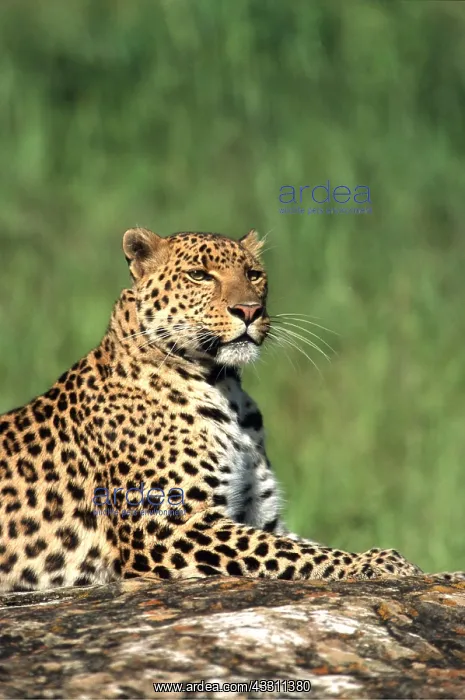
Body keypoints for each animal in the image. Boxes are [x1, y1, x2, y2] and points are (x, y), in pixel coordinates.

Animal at [0, 226, 425, 592]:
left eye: (254, 274)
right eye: (199, 275)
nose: (249, 311)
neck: (225, 387)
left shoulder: (261, 515)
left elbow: (298, 544)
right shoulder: (167, 525)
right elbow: (284, 551)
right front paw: (379, 562)